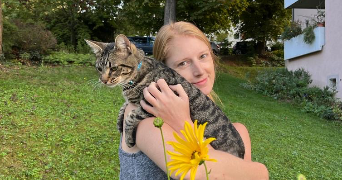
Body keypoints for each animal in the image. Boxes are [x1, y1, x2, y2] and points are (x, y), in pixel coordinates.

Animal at [85, 34, 246, 158]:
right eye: (99, 68)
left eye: (113, 68)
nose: (103, 80)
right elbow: (123, 108)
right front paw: (119, 122)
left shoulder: (152, 103)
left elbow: (131, 116)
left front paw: (128, 137)